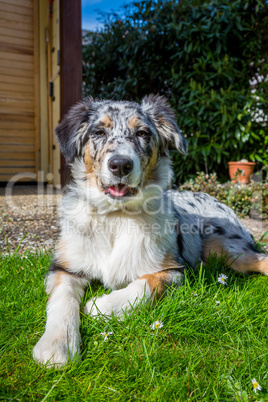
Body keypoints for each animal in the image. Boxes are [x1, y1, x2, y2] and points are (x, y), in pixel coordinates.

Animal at [33, 95, 268, 368]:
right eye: (99, 132)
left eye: (143, 133)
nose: (120, 165)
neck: (117, 215)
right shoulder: (65, 266)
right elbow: (62, 298)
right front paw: (55, 345)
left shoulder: (174, 270)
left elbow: (144, 285)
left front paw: (101, 306)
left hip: (225, 248)